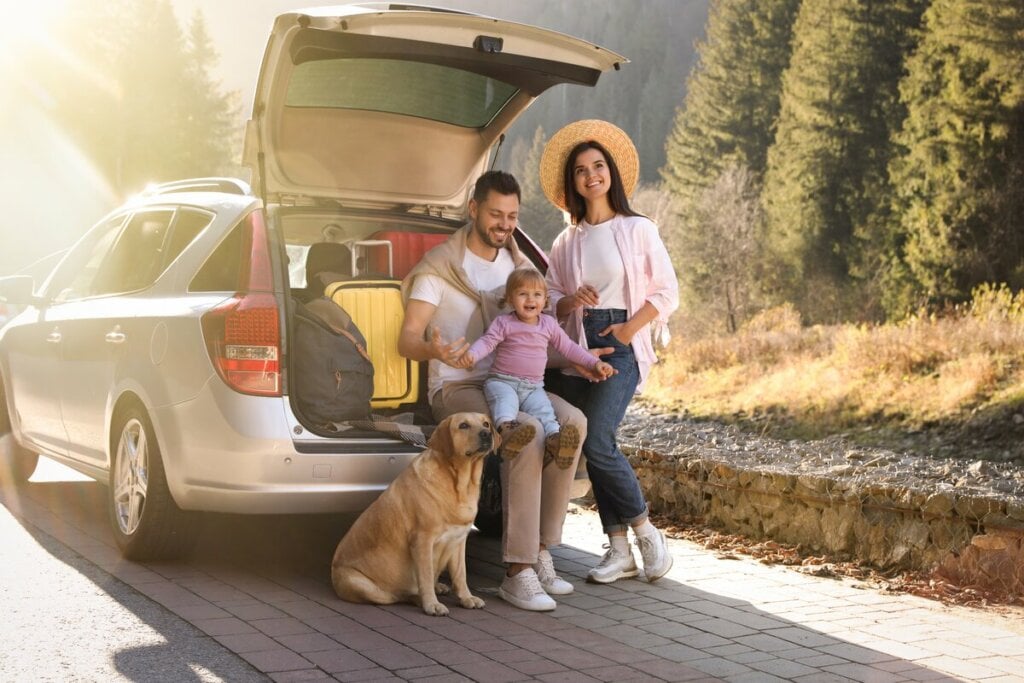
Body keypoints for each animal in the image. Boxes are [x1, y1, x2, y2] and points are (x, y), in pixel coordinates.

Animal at [333, 413, 497, 618]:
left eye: (486, 424)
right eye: (463, 425)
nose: (486, 434)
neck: (459, 485)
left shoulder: (459, 540)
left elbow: (461, 575)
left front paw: (467, 598)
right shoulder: (422, 539)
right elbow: (425, 576)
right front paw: (432, 604)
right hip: (365, 586)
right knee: (400, 595)